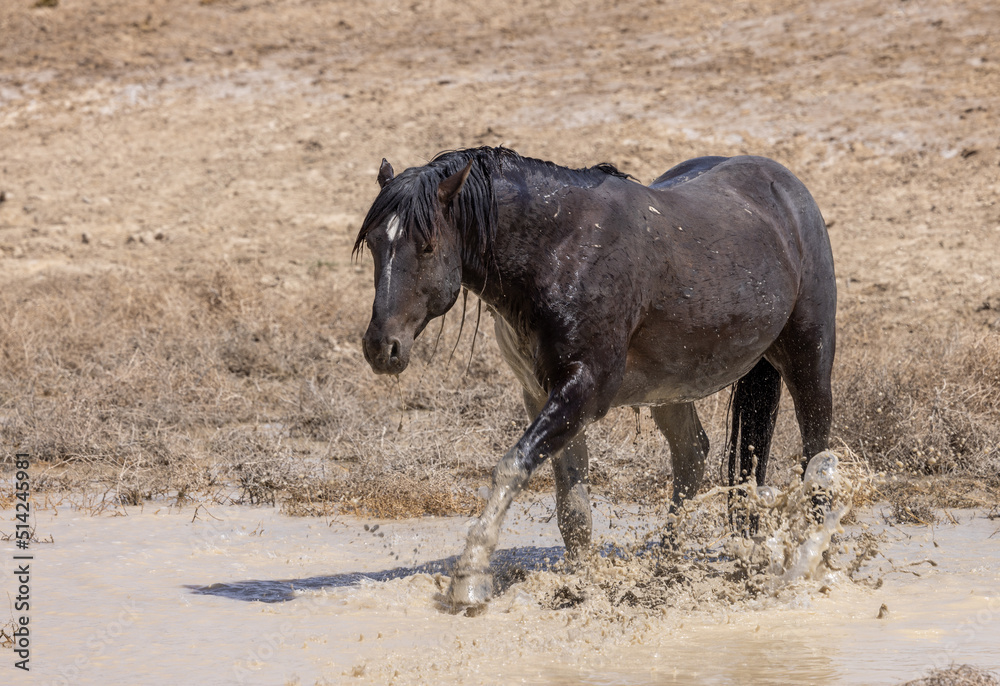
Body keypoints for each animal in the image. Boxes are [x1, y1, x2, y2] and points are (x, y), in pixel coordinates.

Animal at [353, 146, 836, 611]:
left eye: (427, 246)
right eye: (375, 244)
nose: (381, 347)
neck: (559, 252)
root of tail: (786, 187)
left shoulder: (583, 389)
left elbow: (511, 467)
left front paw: (469, 580)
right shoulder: (542, 395)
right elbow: (572, 503)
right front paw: (580, 580)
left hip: (809, 363)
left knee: (818, 456)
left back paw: (811, 559)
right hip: (672, 389)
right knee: (692, 455)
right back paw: (666, 566)